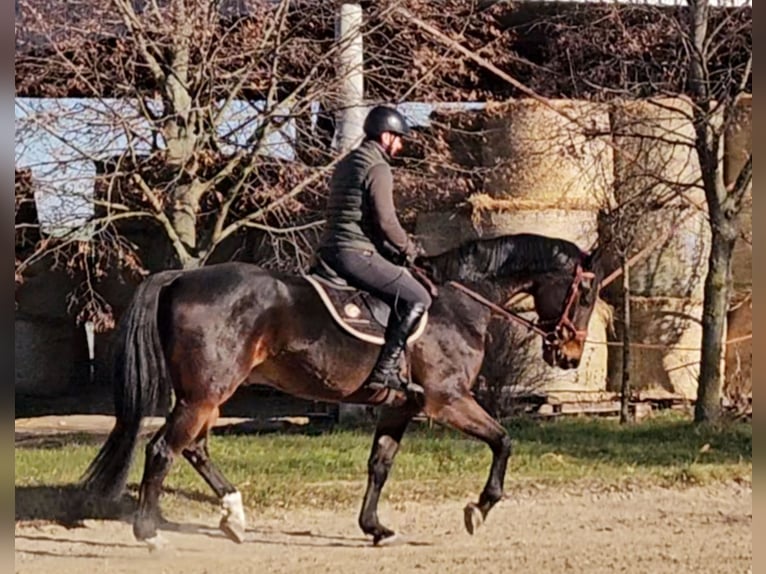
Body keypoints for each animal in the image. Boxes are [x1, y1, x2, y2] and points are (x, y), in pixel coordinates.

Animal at [78, 233, 608, 548]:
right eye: (586, 292)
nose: (570, 356)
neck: (456, 304)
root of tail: (182, 277)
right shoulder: (448, 401)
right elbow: (503, 440)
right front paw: (479, 508)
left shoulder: (400, 408)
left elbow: (380, 465)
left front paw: (374, 528)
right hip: (205, 393)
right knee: (164, 449)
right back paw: (149, 533)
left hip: (208, 394)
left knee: (194, 449)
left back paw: (234, 516)